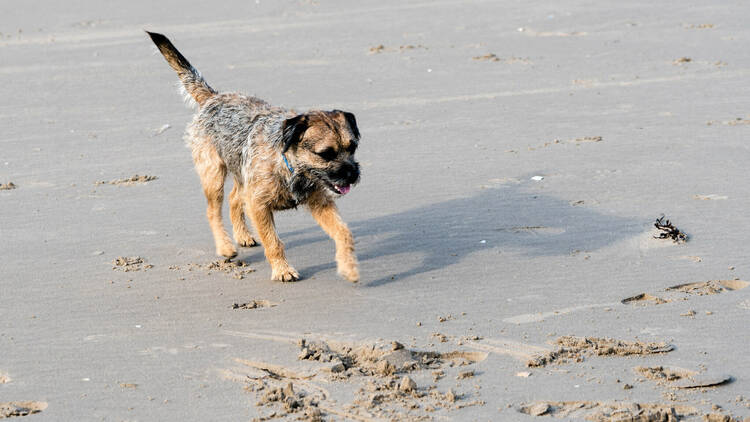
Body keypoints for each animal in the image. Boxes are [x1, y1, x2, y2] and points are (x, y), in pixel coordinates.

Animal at [146, 32, 362, 284]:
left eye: (353, 147)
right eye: (325, 153)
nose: (352, 174)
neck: (288, 166)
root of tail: (213, 98)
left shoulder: (319, 203)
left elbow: (343, 232)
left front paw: (349, 267)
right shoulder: (259, 206)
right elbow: (274, 242)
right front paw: (282, 270)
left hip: (241, 175)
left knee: (234, 198)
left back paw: (242, 235)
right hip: (213, 174)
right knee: (213, 211)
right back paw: (225, 246)